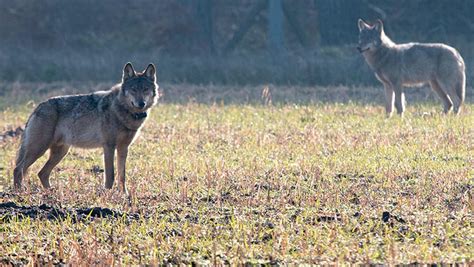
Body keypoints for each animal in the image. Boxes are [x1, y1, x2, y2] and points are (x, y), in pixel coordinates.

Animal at [13, 62, 159, 195]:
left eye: (145, 89)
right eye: (133, 89)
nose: (141, 103)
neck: (122, 110)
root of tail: (37, 107)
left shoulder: (123, 148)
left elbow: (122, 176)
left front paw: (124, 195)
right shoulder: (109, 146)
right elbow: (110, 175)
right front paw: (107, 194)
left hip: (60, 152)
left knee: (41, 173)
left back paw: (51, 193)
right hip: (39, 149)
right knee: (18, 169)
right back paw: (18, 193)